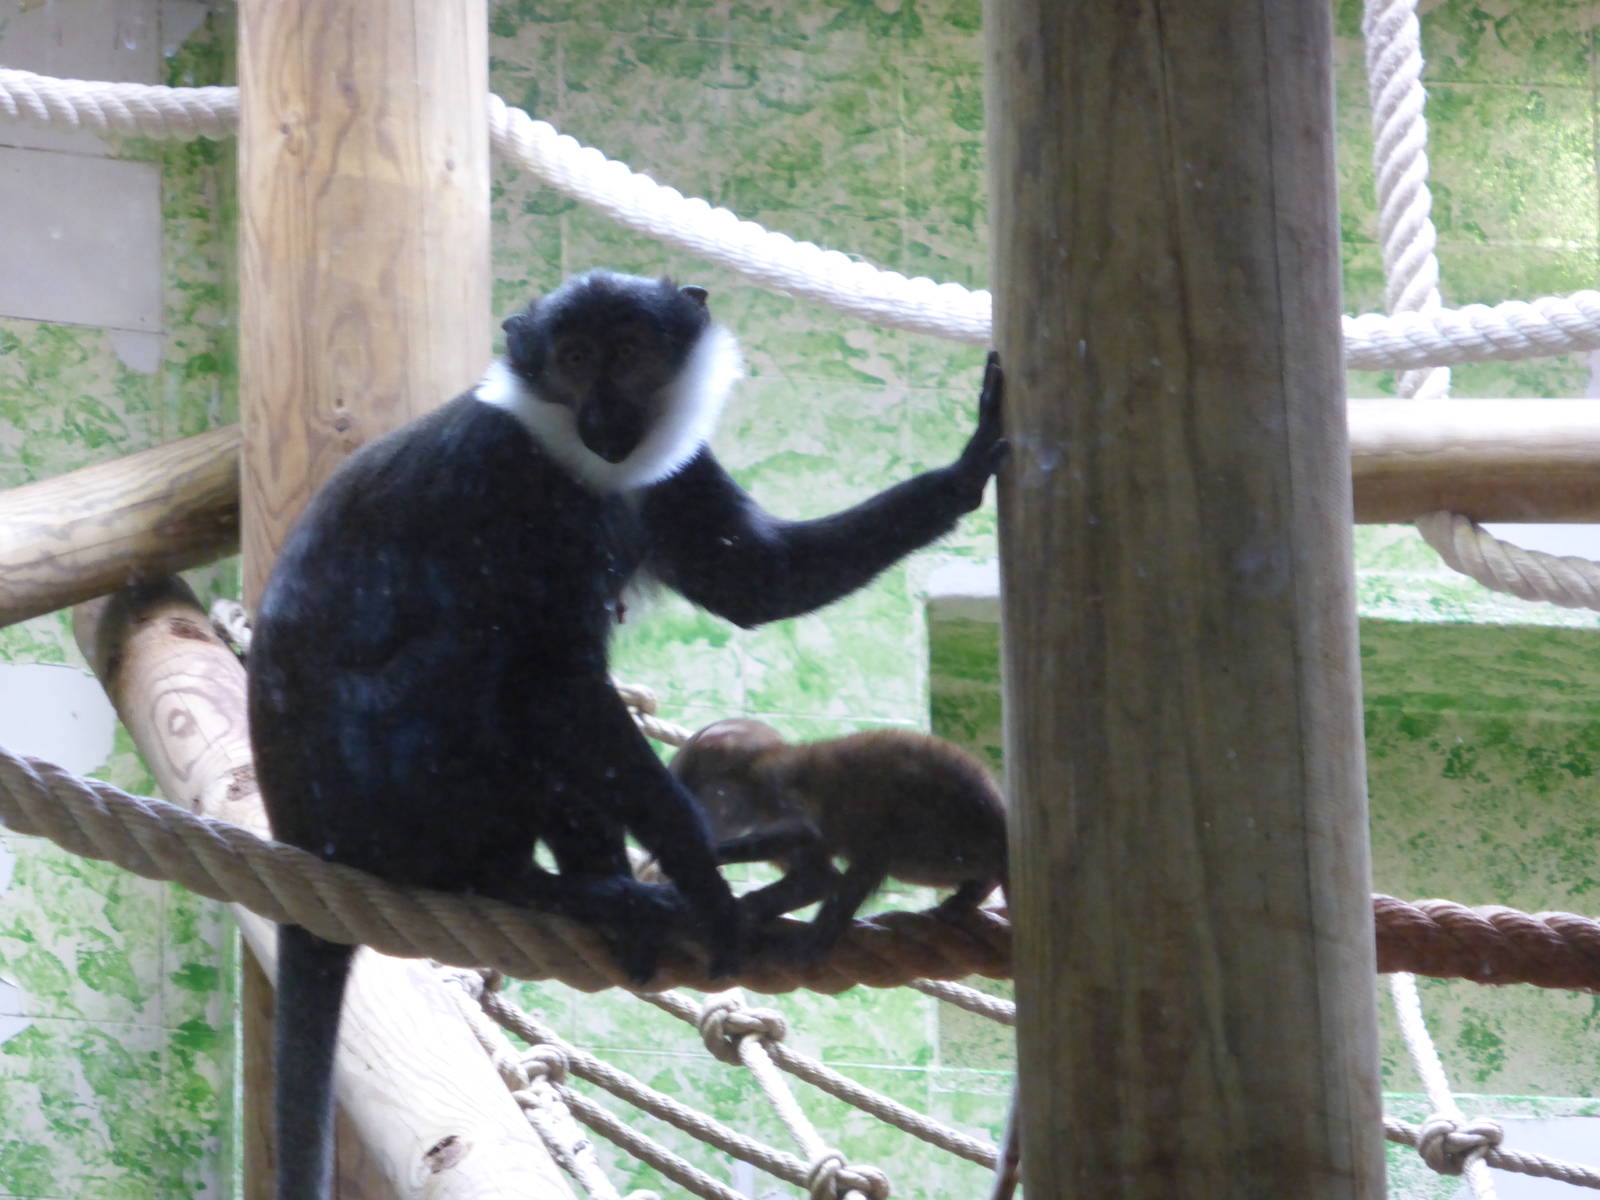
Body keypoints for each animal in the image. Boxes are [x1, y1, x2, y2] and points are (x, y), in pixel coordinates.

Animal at [667, 718, 1009, 959]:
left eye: (694, 798)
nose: (697, 818)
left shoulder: (776, 784)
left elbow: (804, 833)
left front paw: (695, 854)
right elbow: (817, 879)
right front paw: (745, 909)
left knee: (881, 845)